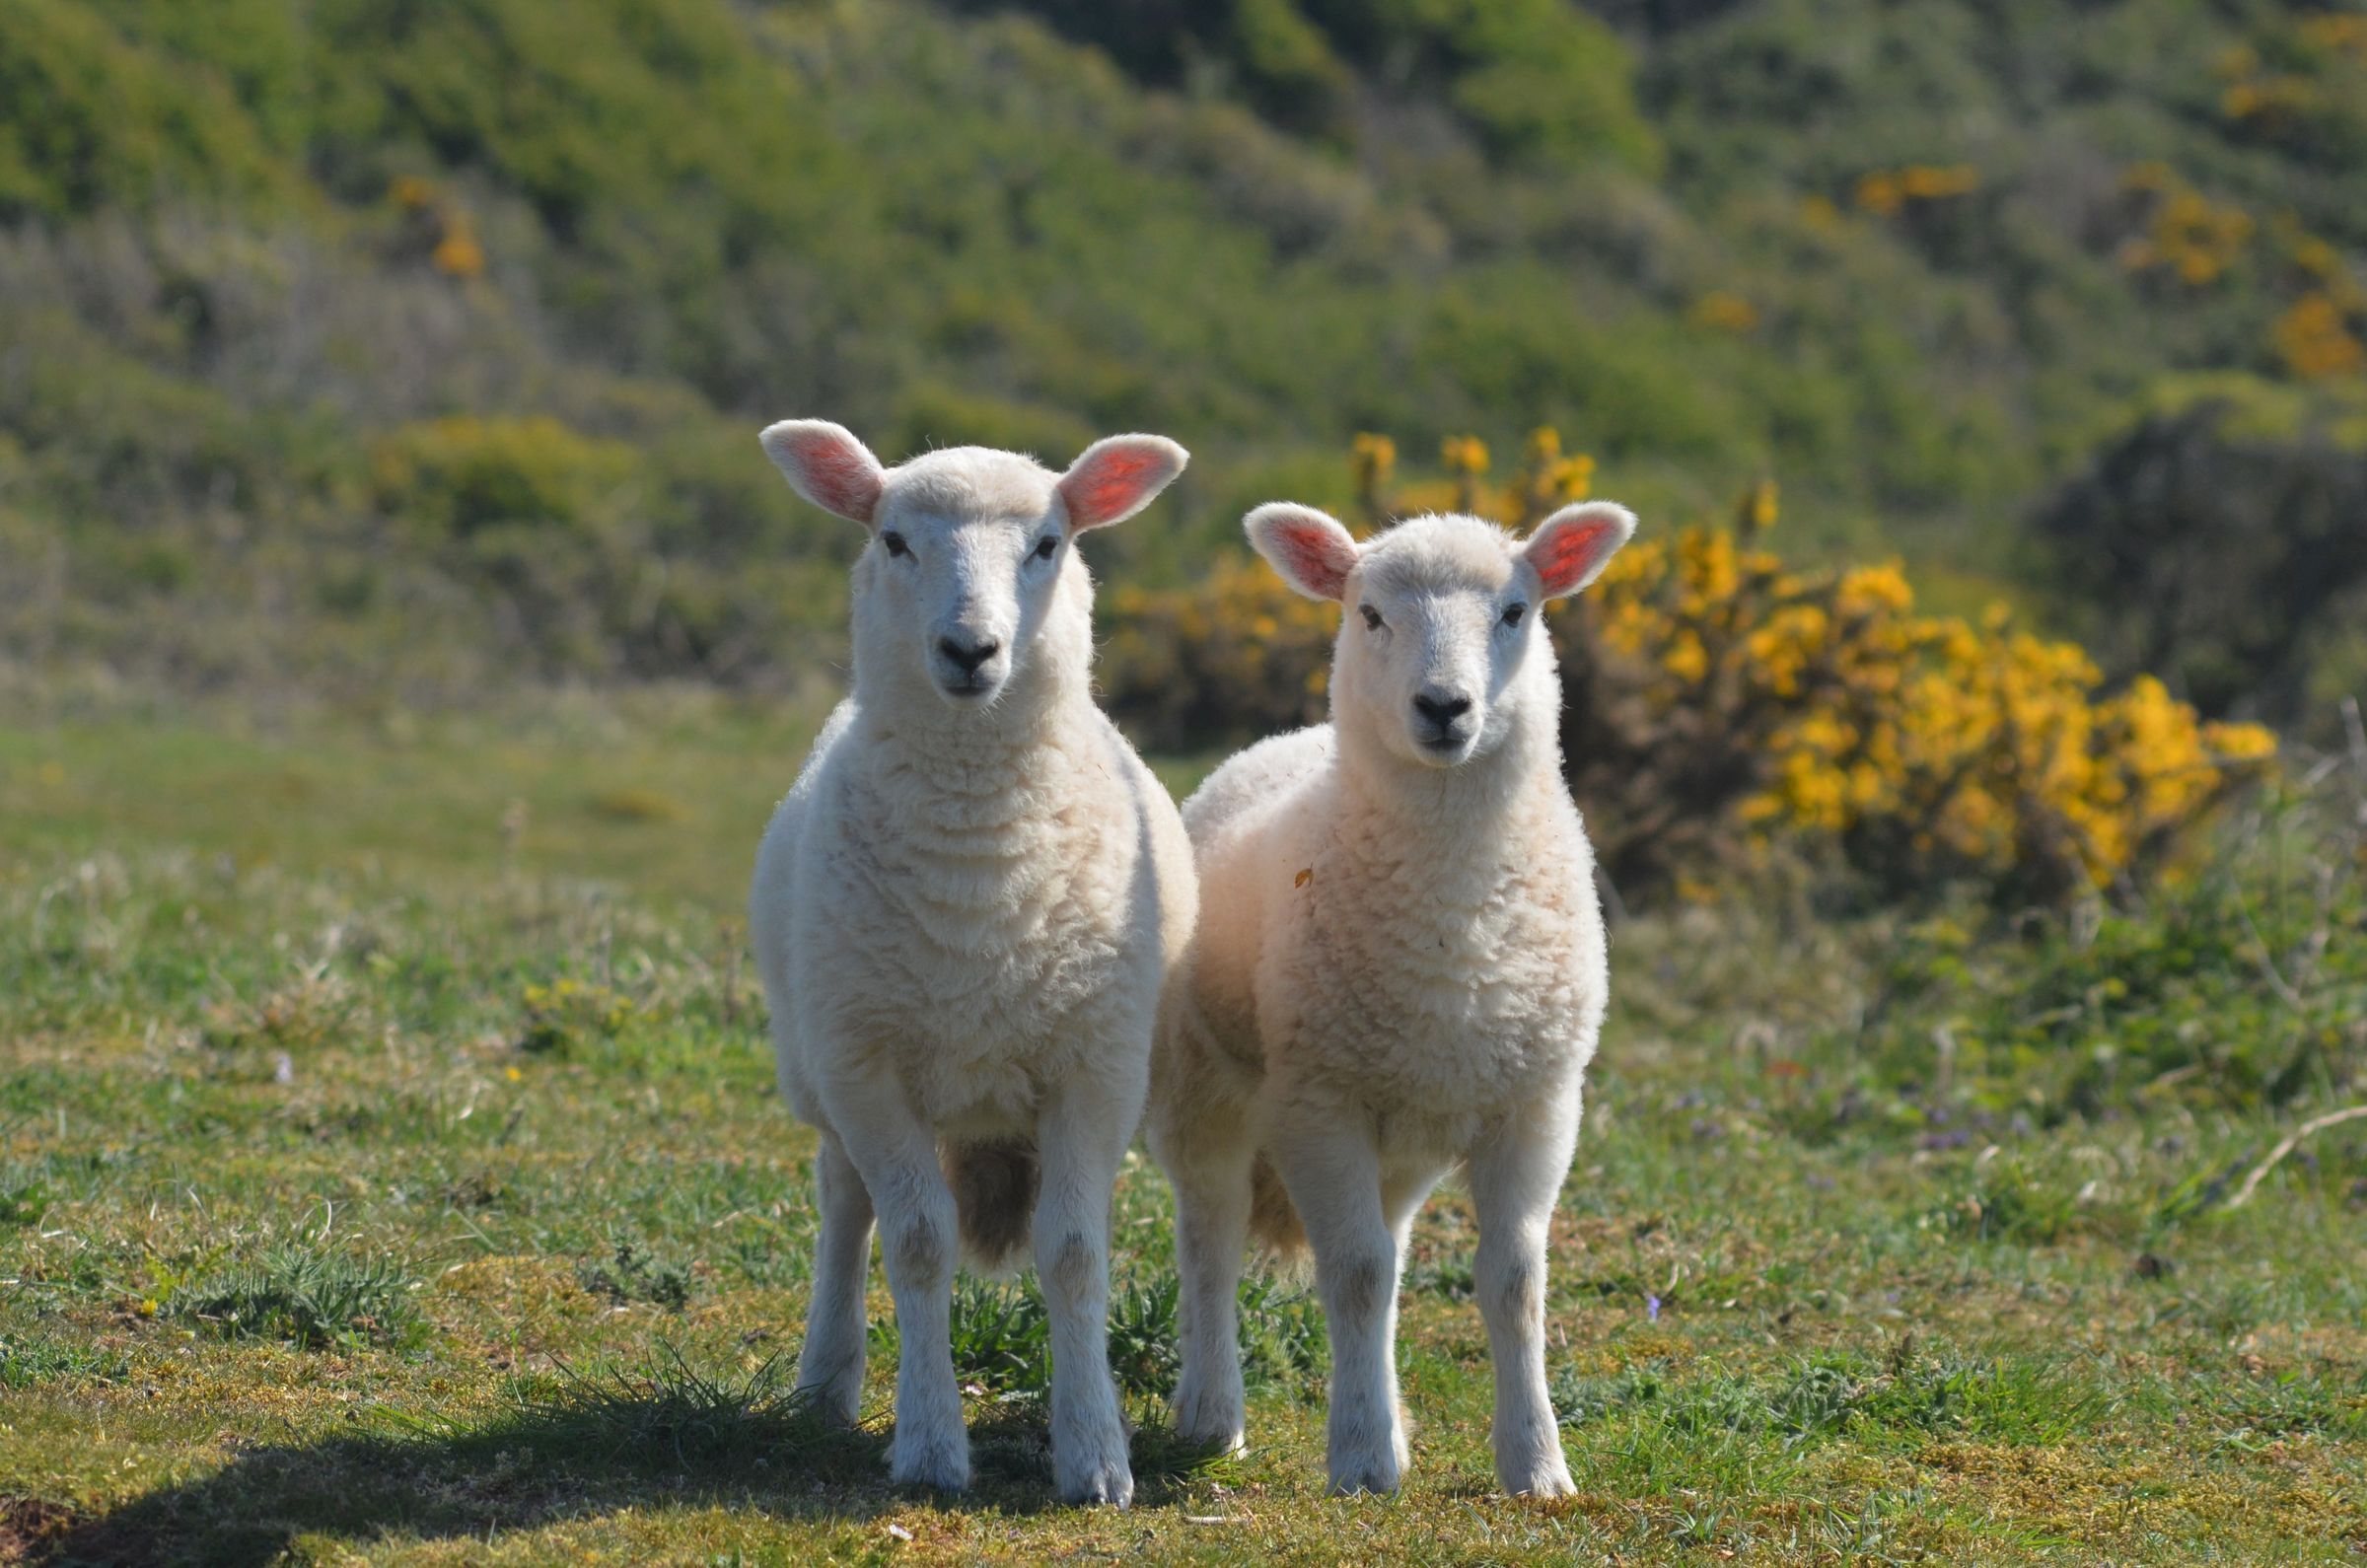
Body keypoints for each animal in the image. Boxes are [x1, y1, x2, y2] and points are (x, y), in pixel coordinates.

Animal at [748, 421, 1192, 1516]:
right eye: (895, 540)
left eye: (1048, 545)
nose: (970, 650)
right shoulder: (866, 1067)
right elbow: (915, 1245)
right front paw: (929, 1445)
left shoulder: (1097, 1069)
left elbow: (1072, 1255)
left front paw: (1095, 1455)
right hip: (822, 1066)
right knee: (846, 1205)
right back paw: (826, 1381)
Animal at [1140, 499, 1628, 1496]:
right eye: (1369, 614)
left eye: (1515, 611)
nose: (1443, 707)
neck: (1454, 917)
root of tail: (1285, 742)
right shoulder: (1318, 1099)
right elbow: (1355, 1274)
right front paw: (1362, 1460)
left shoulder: (1539, 1101)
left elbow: (1514, 1281)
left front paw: (1536, 1464)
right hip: (1204, 1087)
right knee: (1211, 1238)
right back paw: (1212, 1415)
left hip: (1407, 1125)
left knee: (1393, 1251)